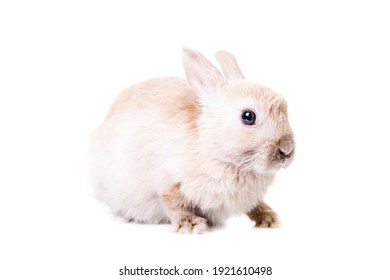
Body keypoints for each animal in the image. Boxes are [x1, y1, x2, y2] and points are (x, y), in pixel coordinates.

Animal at [88, 48, 294, 234]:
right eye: (248, 116)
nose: (287, 150)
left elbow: (255, 205)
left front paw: (269, 219)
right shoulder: (167, 180)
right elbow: (174, 202)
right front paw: (191, 225)